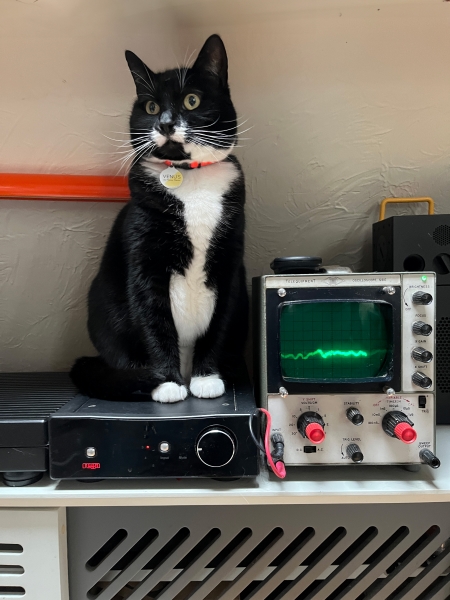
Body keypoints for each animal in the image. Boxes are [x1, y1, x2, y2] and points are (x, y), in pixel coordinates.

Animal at [71, 36, 248, 404]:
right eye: (151, 107)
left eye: (192, 100)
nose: (165, 123)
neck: (190, 178)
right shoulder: (145, 258)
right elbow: (153, 318)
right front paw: (166, 382)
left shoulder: (229, 260)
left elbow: (219, 321)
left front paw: (207, 378)